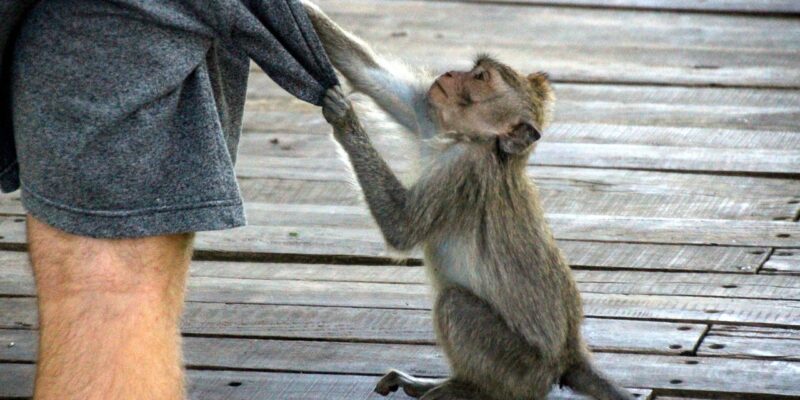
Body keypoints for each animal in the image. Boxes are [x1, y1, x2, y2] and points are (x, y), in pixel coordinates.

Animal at [305, 2, 635, 400]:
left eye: (480, 78)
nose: (450, 72)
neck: (476, 141)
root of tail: (568, 353)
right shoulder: (433, 116)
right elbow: (363, 69)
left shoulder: (463, 169)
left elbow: (401, 227)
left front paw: (344, 118)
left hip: (522, 370)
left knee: (455, 304)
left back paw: (469, 388)